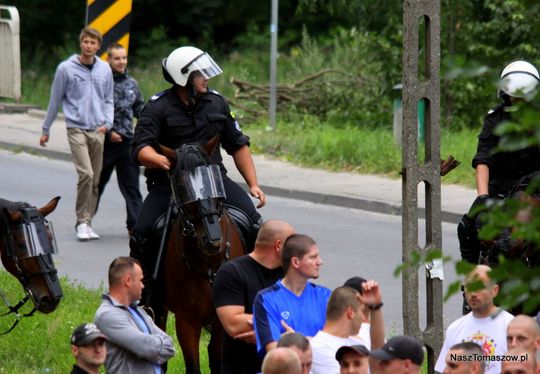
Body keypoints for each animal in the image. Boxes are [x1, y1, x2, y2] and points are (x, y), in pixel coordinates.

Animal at [154, 142, 247, 372]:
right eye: (181, 186)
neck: (210, 266)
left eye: (214, 184)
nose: (212, 241)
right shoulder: (186, 320)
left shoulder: (223, 318)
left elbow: (216, 358)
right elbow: (193, 365)